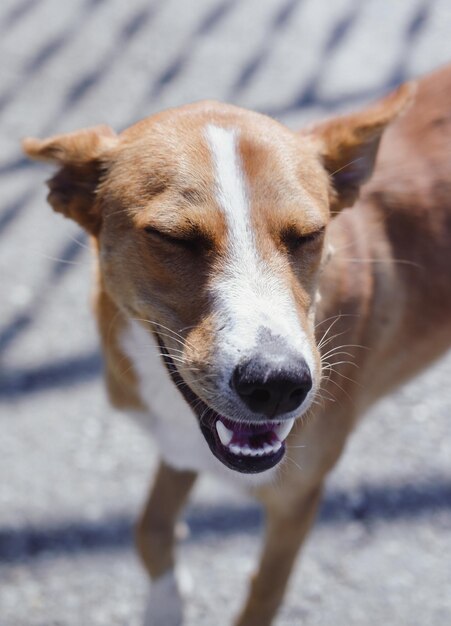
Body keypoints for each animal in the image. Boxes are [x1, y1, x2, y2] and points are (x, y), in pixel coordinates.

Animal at [23, 64, 451, 624]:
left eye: (308, 234)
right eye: (174, 237)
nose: (278, 385)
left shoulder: (296, 501)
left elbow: (263, 593)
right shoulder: (180, 445)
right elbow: (149, 526)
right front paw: (166, 602)